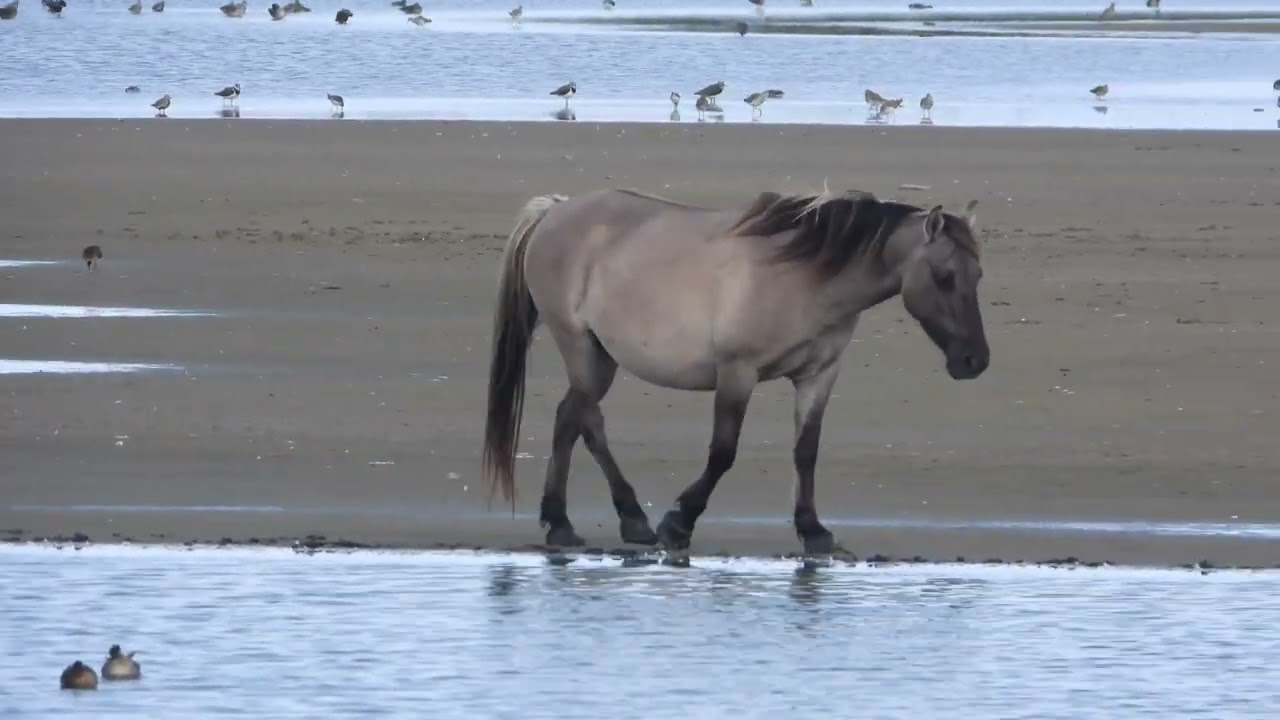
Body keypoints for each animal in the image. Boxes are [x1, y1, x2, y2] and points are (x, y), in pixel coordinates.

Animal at [482, 187, 988, 554]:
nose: (975, 361)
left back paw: (561, 523)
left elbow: (806, 451)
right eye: (944, 276)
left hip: (601, 358)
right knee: (590, 423)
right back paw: (634, 520)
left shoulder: (818, 375)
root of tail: (555, 211)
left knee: (568, 419)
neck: (805, 277)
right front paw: (679, 522)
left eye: (978, 276)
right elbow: (723, 453)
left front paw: (814, 531)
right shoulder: (738, 373)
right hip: (581, 348)